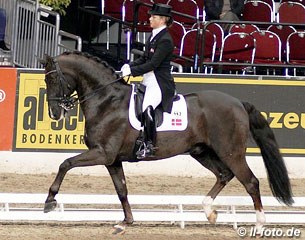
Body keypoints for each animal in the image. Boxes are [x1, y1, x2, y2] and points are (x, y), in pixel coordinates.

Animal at [42, 51, 292, 233]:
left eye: (53, 78)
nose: (55, 114)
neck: (106, 101)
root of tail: (238, 103)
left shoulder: (102, 153)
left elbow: (65, 164)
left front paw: (50, 201)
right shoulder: (112, 160)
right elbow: (121, 189)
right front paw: (126, 222)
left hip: (231, 152)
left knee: (250, 182)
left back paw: (259, 225)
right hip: (202, 152)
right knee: (224, 175)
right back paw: (209, 212)